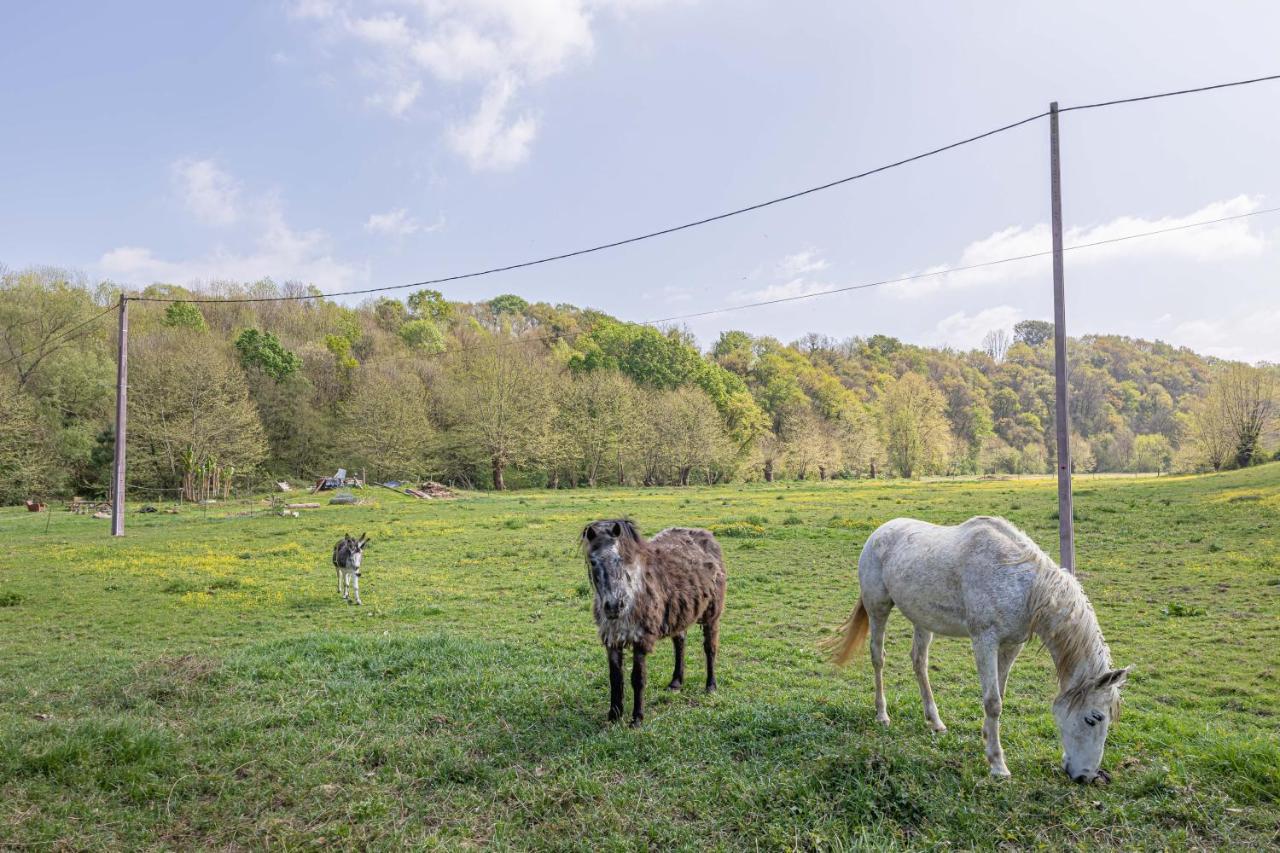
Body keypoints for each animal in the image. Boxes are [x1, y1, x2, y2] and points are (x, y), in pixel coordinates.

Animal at [583, 517, 727, 722]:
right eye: (593, 561)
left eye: (621, 559)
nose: (613, 606)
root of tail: (707, 536)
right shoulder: (612, 639)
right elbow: (615, 678)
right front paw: (614, 715)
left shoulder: (641, 639)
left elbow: (638, 678)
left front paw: (637, 718)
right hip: (679, 615)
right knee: (680, 644)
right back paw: (676, 682)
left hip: (711, 615)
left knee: (710, 648)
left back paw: (711, 686)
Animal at [824, 514, 1126, 778]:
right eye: (1094, 718)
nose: (1086, 777)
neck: (1024, 586)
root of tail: (879, 532)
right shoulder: (985, 641)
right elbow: (992, 702)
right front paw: (997, 765)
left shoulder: (1011, 645)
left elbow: (999, 695)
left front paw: (986, 739)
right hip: (878, 608)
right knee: (878, 657)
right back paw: (882, 715)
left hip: (923, 619)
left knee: (919, 662)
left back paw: (935, 722)